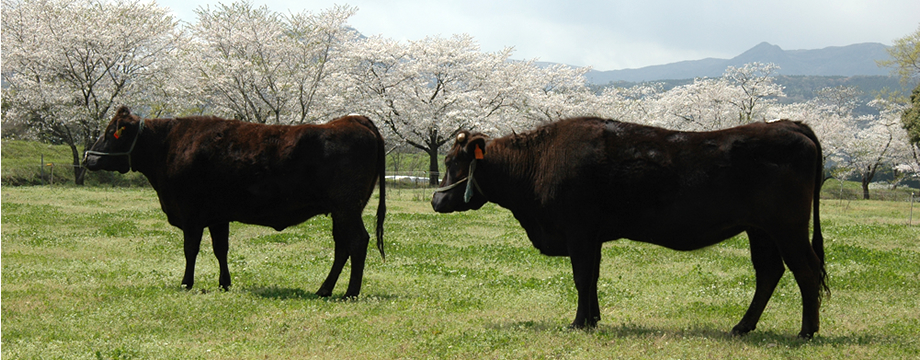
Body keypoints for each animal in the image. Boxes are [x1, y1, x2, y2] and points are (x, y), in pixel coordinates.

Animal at [85, 105, 384, 296]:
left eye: (111, 132)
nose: (89, 159)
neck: (168, 146)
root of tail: (353, 119)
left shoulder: (191, 214)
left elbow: (190, 249)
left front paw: (186, 283)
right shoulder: (218, 216)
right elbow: (221, 249)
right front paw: (224, 284)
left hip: (346, 207)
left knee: (357, 242)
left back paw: (350, 293)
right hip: (342, 211)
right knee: (342, 246)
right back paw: (325, 289)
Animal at [434, 116, 832, 338]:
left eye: (454, 162)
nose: (436, 200)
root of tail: (786, 124)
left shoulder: (579, 231)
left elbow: (581, 277)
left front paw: (578, 323)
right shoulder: (592, 237)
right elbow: (592, 277)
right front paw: (593, 319)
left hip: (788, 228)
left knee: (806, 271)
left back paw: (807, 331)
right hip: (760, 230)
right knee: (769, 272)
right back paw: (742, 327)